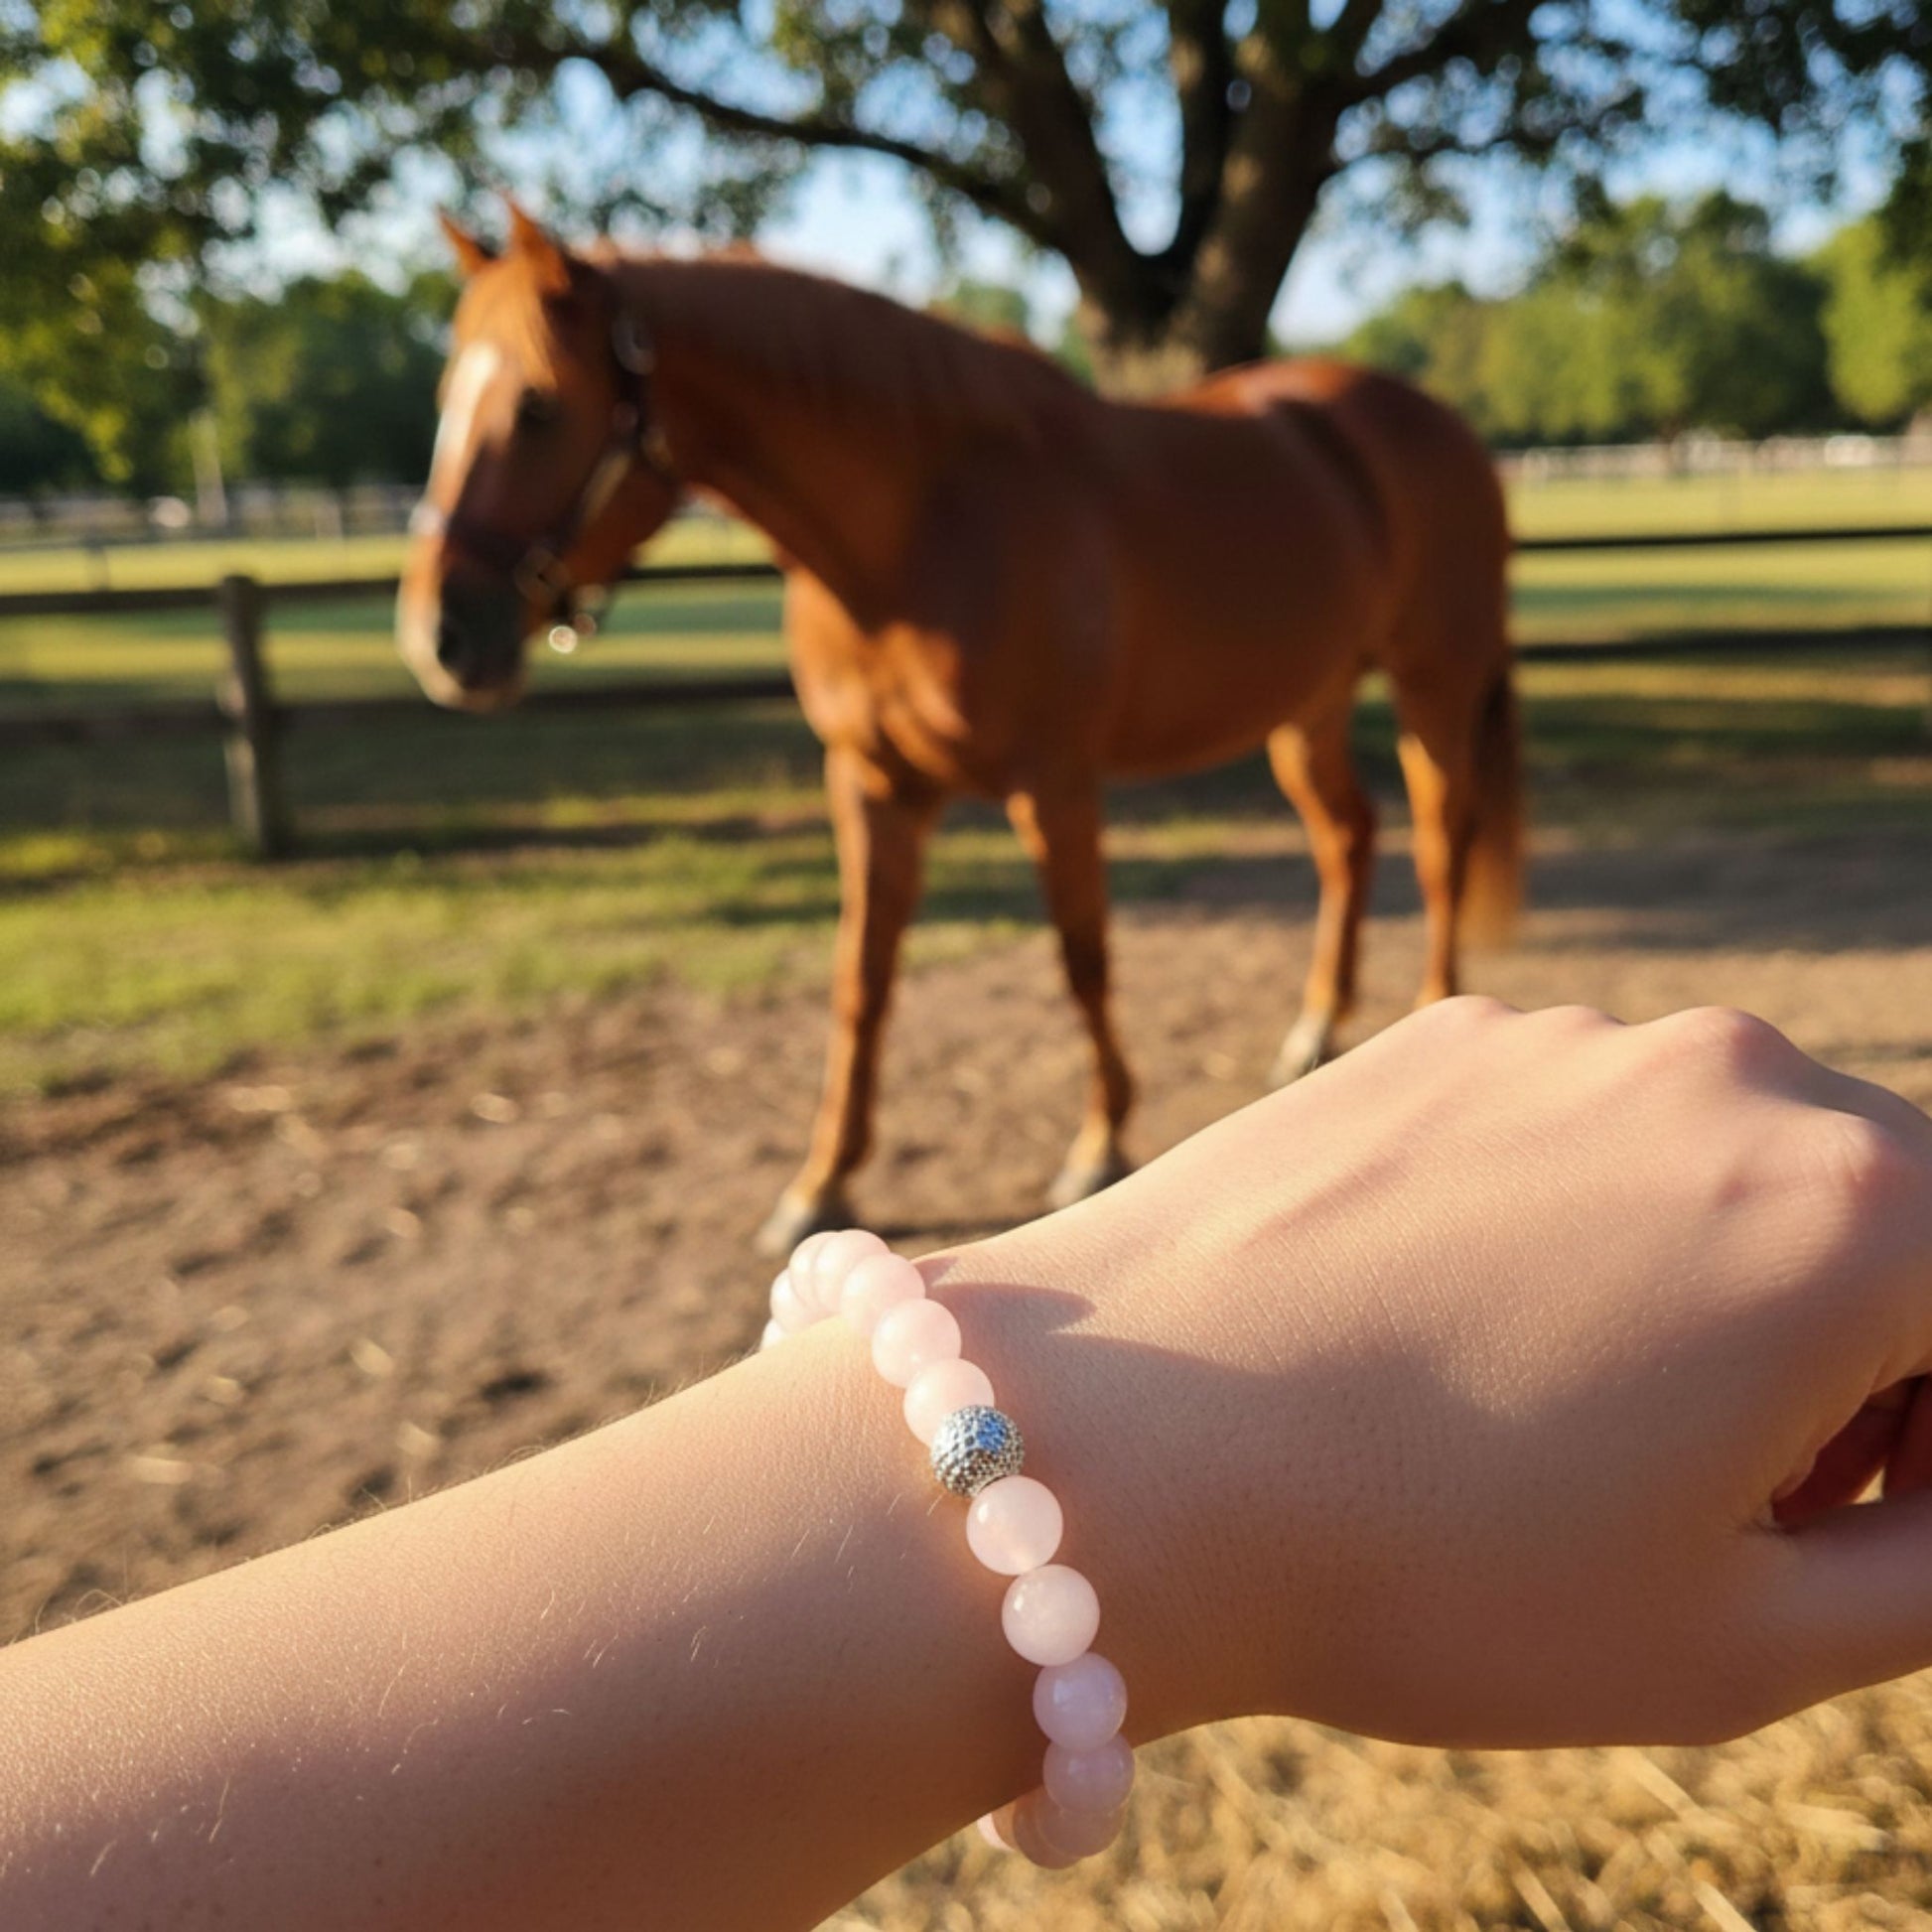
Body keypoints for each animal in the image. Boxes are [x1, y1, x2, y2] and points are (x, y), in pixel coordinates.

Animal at [398, 204, 1522, 1254]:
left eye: (537, 405)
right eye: (445, 399)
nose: (437, 636)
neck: (916, 532)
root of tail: (1438, 426)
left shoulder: (1053, 784)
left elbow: (1082, 959)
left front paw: (1098, 1144)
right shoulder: (871, 783)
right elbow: (861, 979)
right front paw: (819, 1184)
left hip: (1430, 685)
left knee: (1437, 840)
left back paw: (1429, 1016)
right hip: (1306, 708)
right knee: (1348, 837)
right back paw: (1314, 1032)